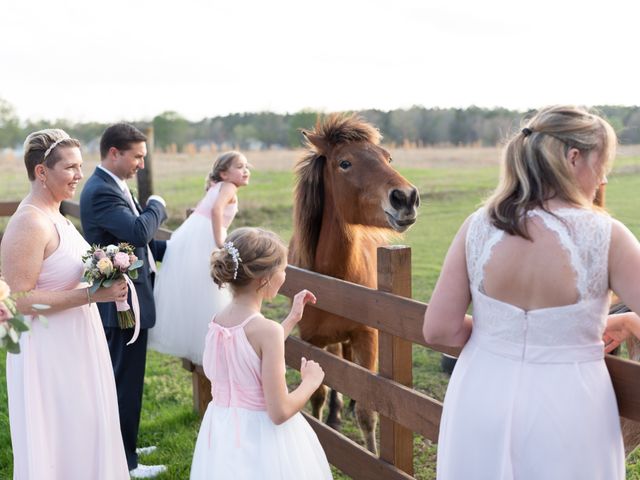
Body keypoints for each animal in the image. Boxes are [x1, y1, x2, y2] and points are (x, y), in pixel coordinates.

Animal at [290, 113, 420, 454]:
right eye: (344, 163)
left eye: (388, 158)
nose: (406, 197)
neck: (334, 284)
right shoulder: (311, 342)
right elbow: (318, 396)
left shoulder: (366, 337)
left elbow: (367, 411)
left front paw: (371, 452)